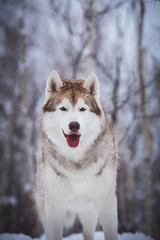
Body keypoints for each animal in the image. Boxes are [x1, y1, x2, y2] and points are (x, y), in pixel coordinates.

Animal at [37, 70, 118, 239]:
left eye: (82, 109)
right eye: (63, 108)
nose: (74, 125)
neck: (76, 158)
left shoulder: (106, 201)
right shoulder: (55, 205)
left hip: (89, 210)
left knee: (88, 232)